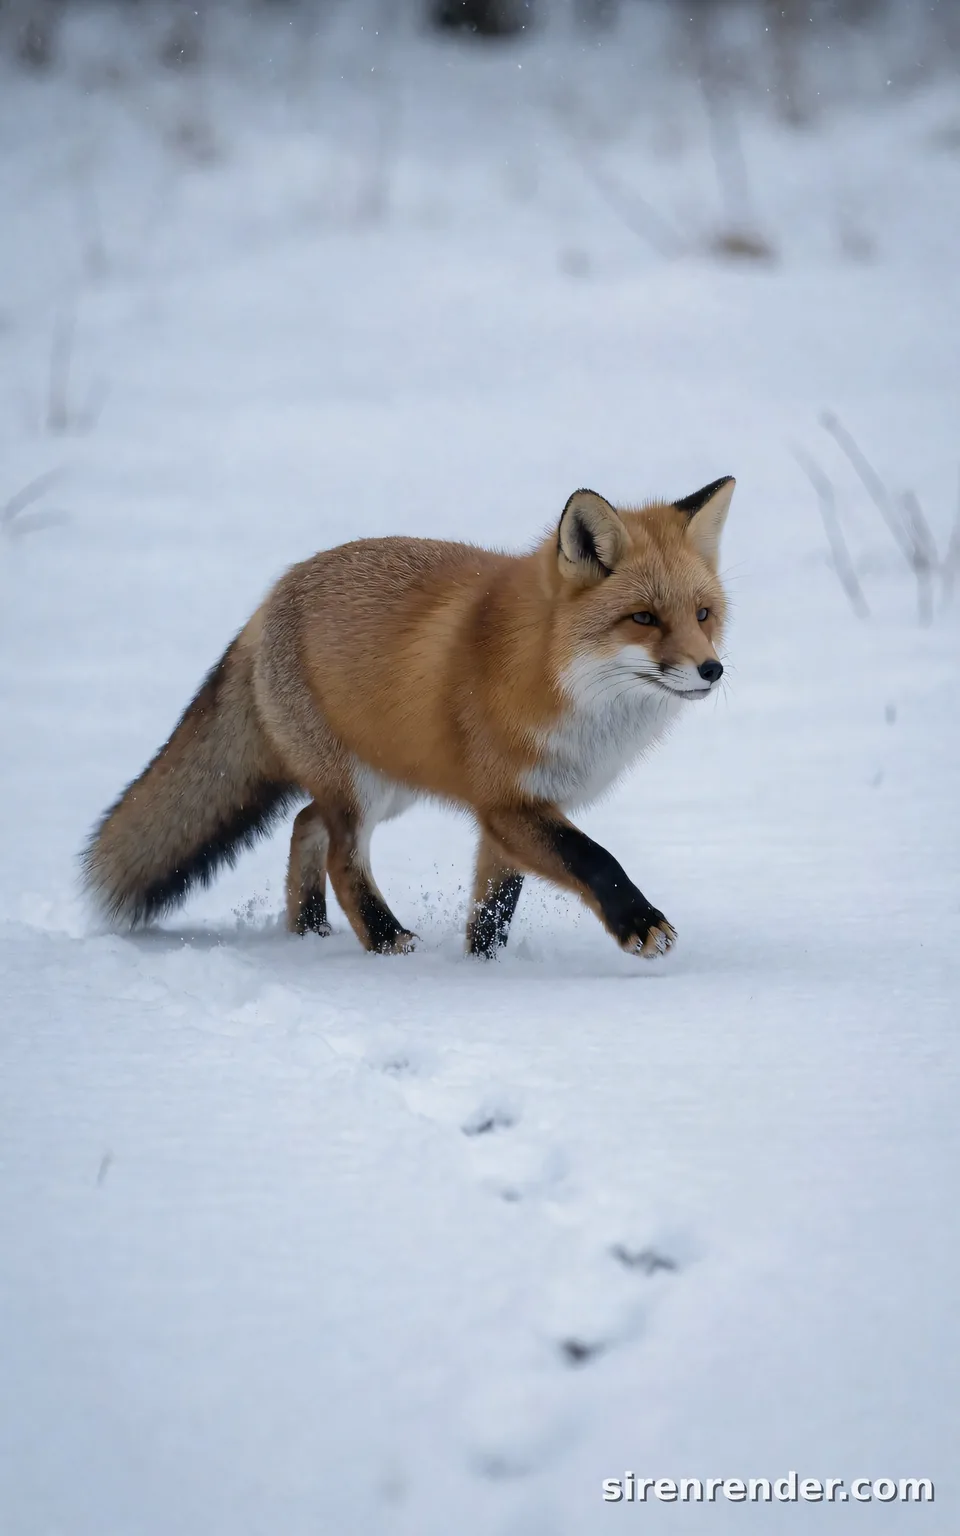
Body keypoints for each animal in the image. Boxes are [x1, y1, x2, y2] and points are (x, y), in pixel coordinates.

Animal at [82, 476, 734, 960]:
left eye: (703, 615)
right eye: (644, 618)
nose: (712, 670)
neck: (554, 677)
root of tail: (270, 598)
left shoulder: (518, 812)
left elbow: (493, 909)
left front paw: (483, 967)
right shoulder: (507, 803)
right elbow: (595, 857)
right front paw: (639, 922)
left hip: (387, 783)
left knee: (304, 823)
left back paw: (308, 931)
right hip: (362, 788)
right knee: (340, 856)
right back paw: (384, 939)